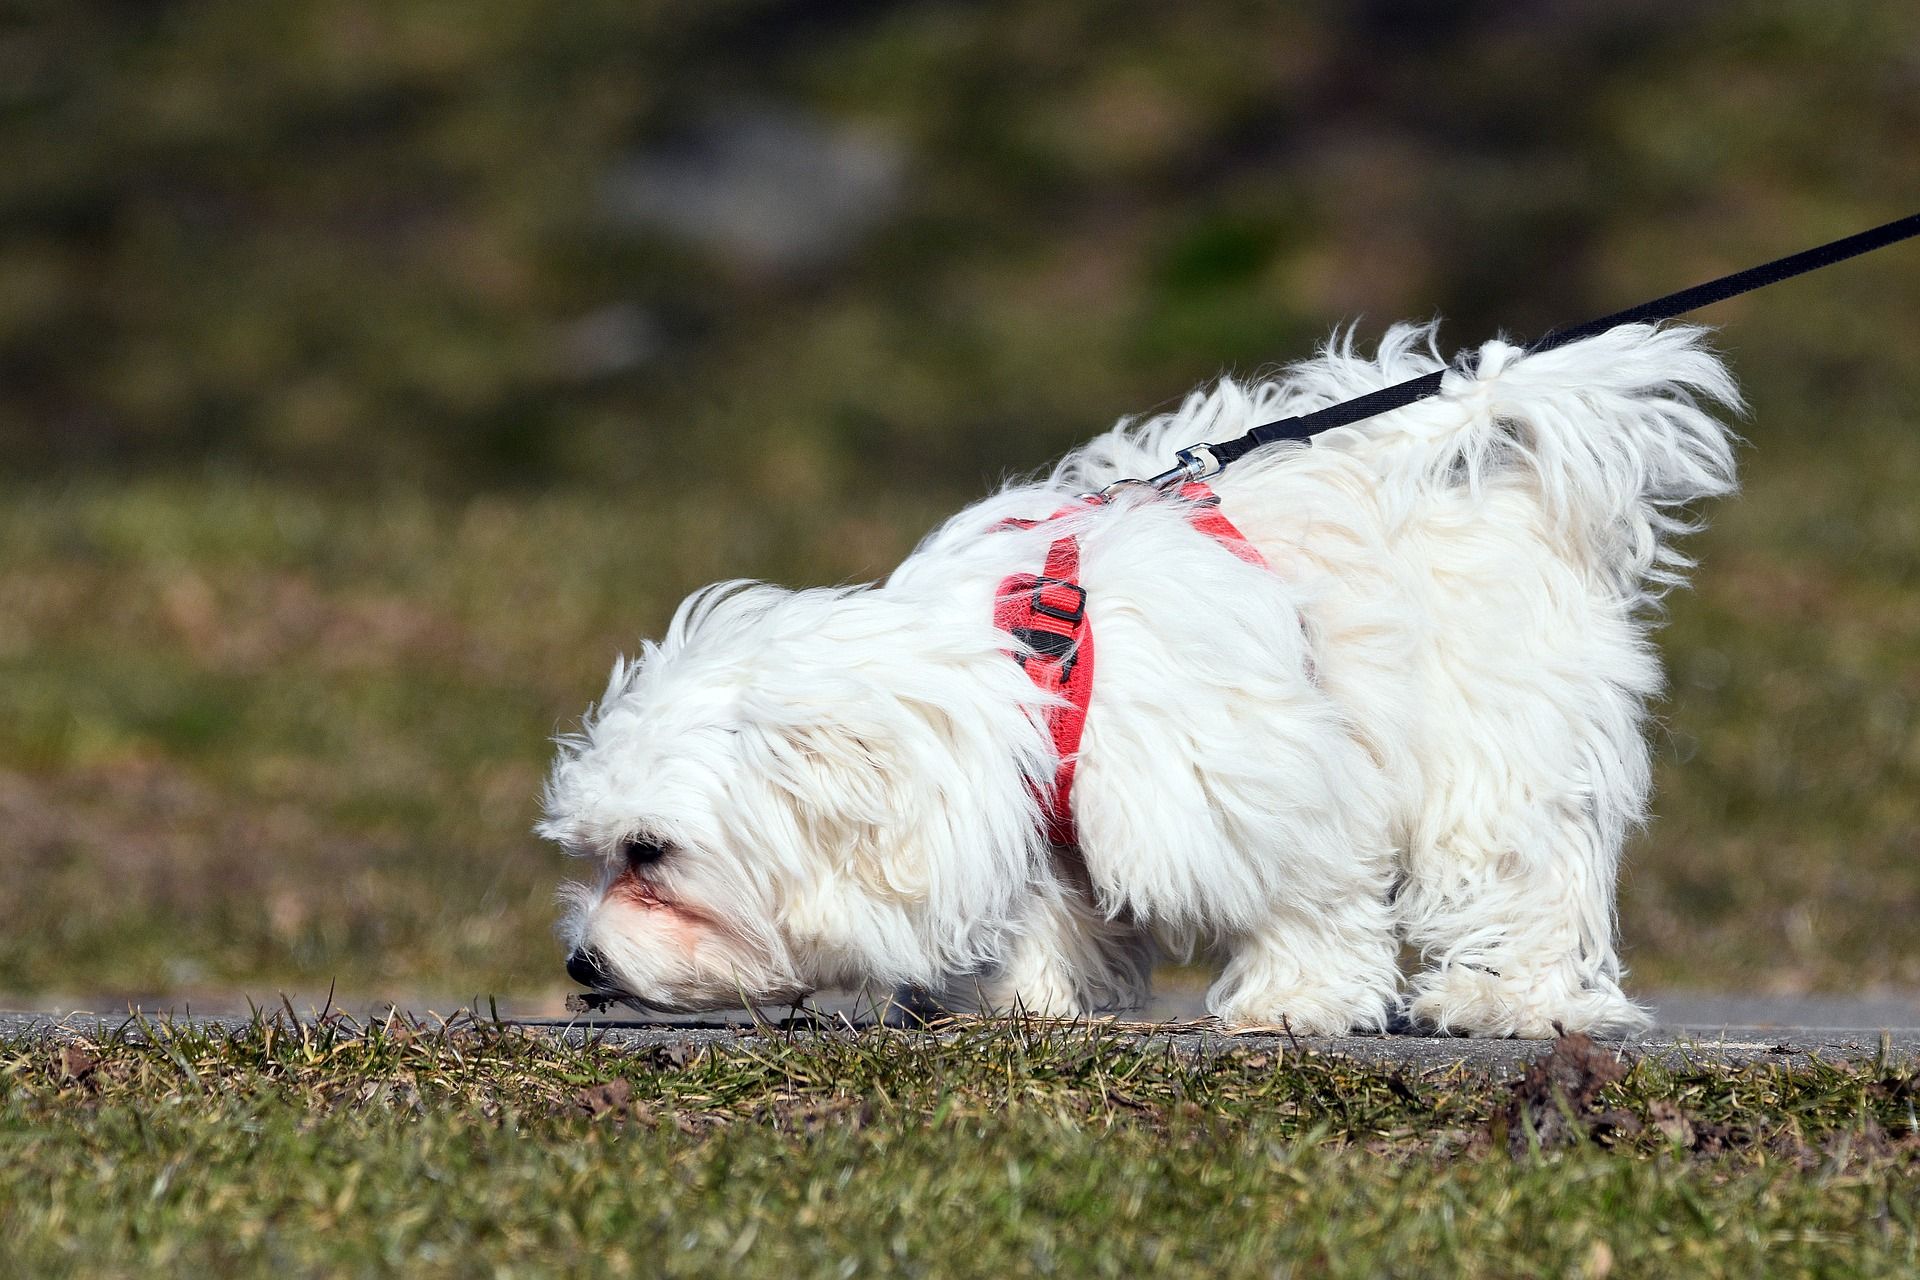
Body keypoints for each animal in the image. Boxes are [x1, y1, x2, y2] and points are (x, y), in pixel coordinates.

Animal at [541, 326, 1743, 1036]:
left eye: (651, 852)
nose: (581, 964)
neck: (1026, 666)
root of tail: (1495, 463)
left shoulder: (1248, 781)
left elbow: (1302, 891)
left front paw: (1296, 1001)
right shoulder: (1044, 808)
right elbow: (1050, 909)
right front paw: (1032, 999)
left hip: (1493, 733)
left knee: (1520, 864)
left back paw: (1513, 1001)